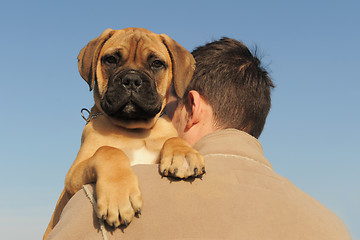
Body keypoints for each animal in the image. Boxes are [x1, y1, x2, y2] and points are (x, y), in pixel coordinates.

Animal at [42, 27, 205, 238]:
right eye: (111, 60)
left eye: (157, 63)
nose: (132, 80)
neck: (135, 130)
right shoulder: (73, 175)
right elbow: (108, 151)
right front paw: (118, 198)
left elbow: (172, 139)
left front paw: (183, 154)